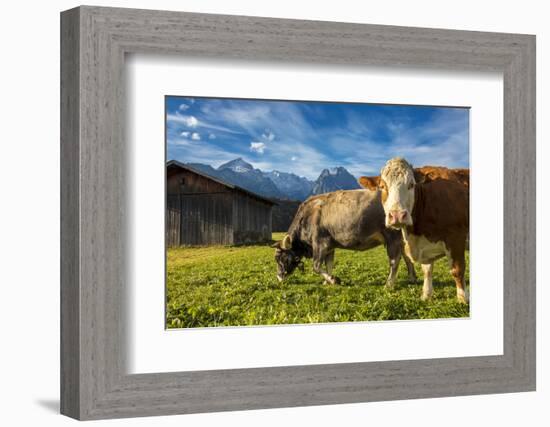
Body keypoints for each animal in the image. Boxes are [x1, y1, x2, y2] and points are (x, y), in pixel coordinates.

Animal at [274, 190, 416, 288]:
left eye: (281, 258)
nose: (279, 277)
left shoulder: (320, 243)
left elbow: (316, 266)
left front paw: (333, 280)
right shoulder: (330, 246)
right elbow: (329, 264)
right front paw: (327, 281)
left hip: (392, 235)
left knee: (395, 260)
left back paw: (389, 284)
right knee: (406, 256)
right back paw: (412, 277)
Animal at [360, 158, 472, 304]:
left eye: (411, 185)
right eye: (383, 186)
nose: (397, 215)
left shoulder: (456, 237)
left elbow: (457, 269)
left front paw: (463, 298)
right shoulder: (424, 245)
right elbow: (427, 270)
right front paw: (426, 295)